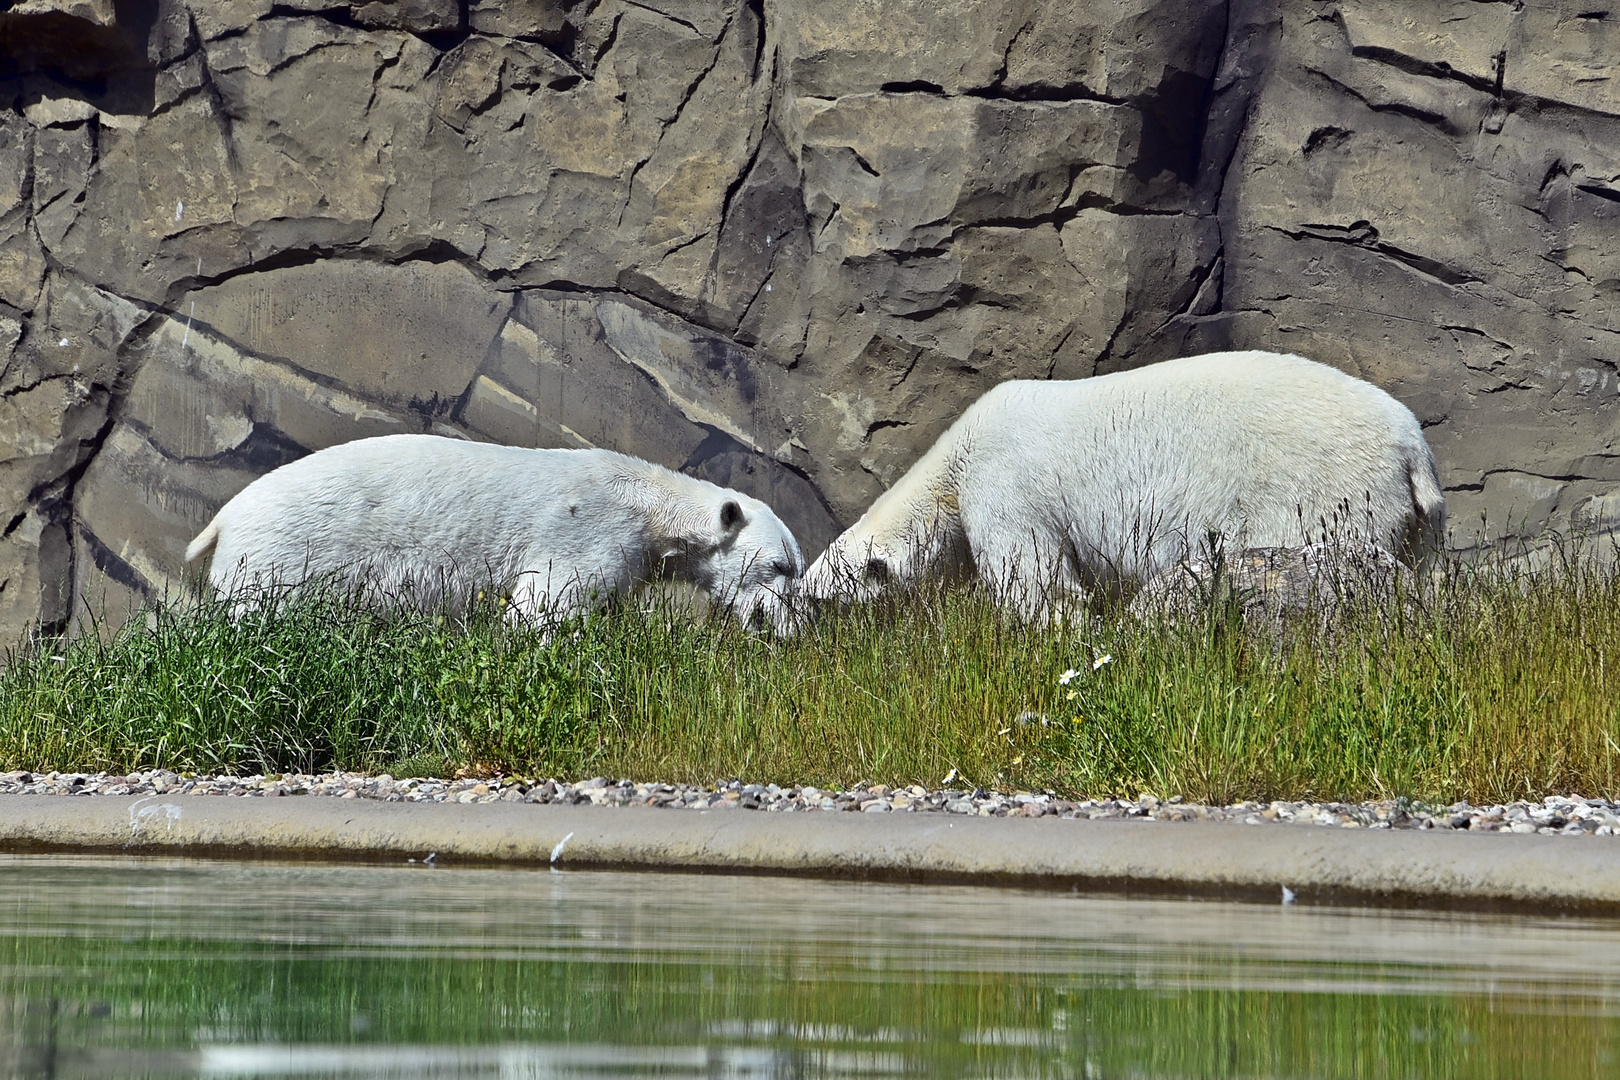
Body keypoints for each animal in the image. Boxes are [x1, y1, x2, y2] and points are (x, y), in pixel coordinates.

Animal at [186, 430, 806, 634]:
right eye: (780, 568)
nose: (795, 627)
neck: (647, 501)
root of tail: (223, 518)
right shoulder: (588, 530)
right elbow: (546, 602)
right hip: (286, 550)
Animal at [803, 351, 1451, 621]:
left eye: (818, 597)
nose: (793, 633)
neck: (955, 461)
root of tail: (1411, 445)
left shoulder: (1008, 486)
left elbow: (1036, 582)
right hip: (1411, 515)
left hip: (1321, 488)